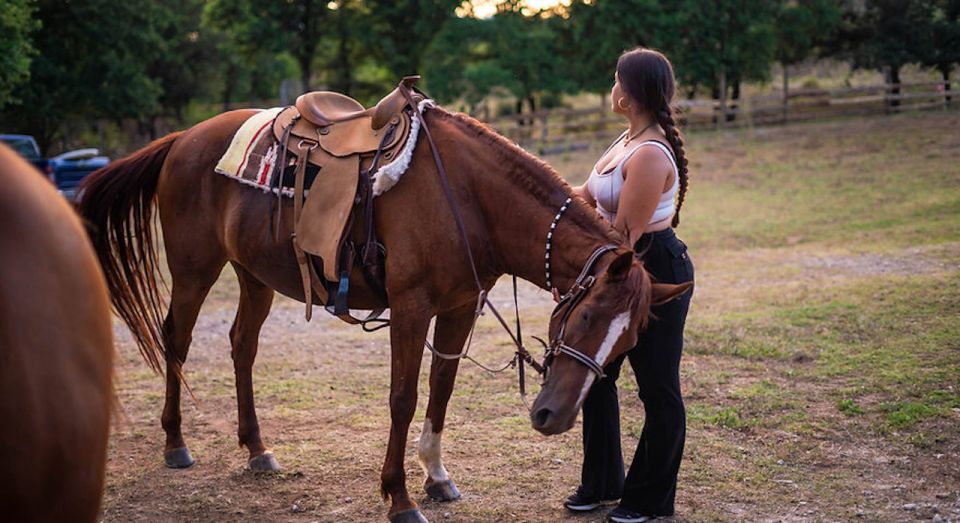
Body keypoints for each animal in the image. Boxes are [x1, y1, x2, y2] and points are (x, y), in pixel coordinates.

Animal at [79, 104, 688, 520]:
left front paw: (437, 477)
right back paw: (175, 443)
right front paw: (399, 496)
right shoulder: (413, 306)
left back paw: (257, 448)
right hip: (194, 270)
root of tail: (183, 139)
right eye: (584, 319)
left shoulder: (459, 305)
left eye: (629, 342)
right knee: (176, 339)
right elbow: (404, 397)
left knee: (241, 346)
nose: (553, 418)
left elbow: (441, 388)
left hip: (253, 275)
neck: (467, 196)